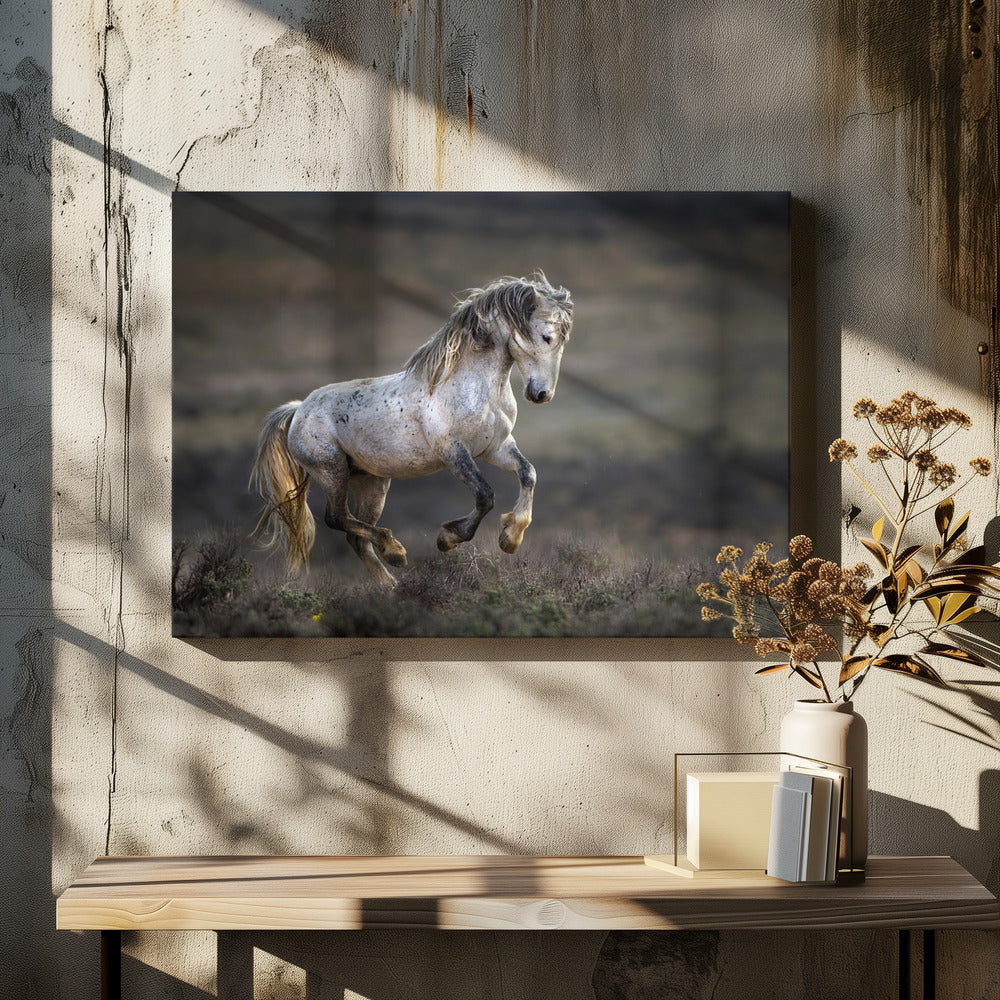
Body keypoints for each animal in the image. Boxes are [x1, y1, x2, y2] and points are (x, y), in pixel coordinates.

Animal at [250, 272, 574, 586]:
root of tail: (298, 410)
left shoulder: (496, 447)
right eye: (546, 337)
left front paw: (510, 538)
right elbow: (484, 495)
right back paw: (394, 549)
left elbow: (528, 474)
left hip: (371, 482)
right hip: (332, 472)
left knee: (355, 536)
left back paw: (390, 584)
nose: (541, 394)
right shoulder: (454, 452)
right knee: (337, 518)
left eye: (562, 341)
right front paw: (448, 538)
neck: (474, 386)